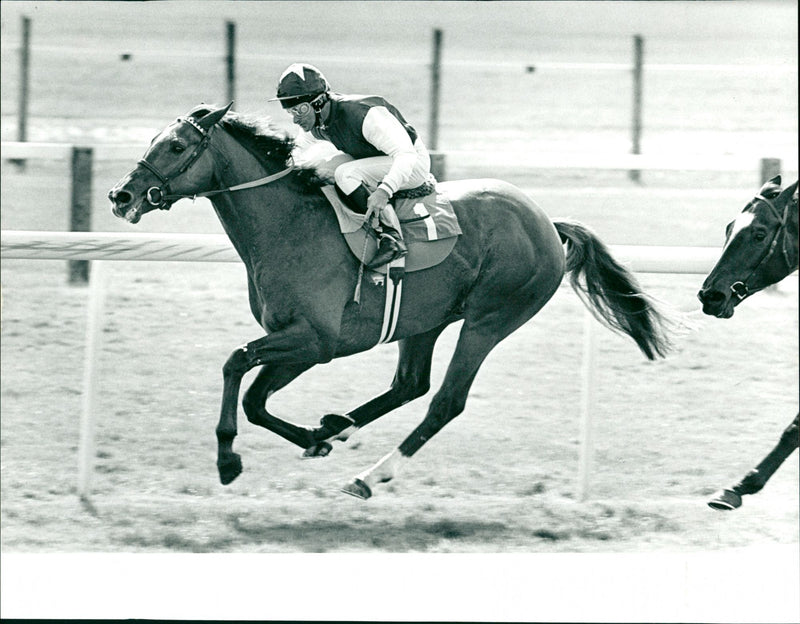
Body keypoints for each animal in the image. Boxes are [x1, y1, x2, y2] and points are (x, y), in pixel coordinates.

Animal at [109, 105, 672, 500]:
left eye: (175, 145)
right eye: (153, 140)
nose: (121, 195)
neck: (289, 226)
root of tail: (548, 225)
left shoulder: (314, 341)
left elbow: (235, 365)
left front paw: (228, 460)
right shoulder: (302, 342)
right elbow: (254, 398)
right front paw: (314, 437)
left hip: (490, 319)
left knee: (444, 401)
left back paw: (369, 476)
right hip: (427, 320)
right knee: (410, 384)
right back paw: (339, 426)